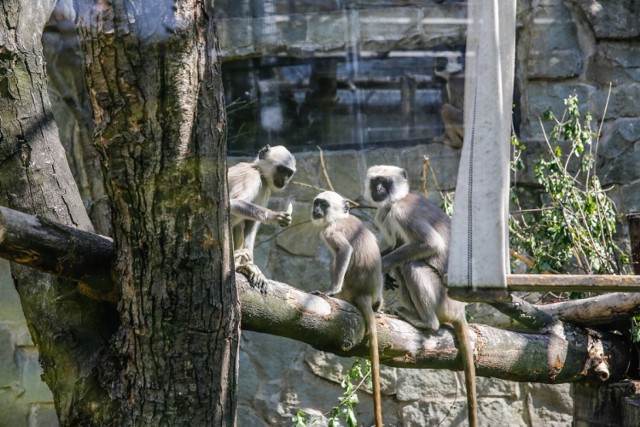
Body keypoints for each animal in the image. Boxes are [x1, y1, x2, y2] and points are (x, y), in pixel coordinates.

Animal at [229, 145, 296, 290]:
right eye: (281, 170)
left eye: (289, 173)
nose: (284, 180)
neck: (257, 169)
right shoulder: (252, 177)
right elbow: (233, 203)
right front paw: (274, 216)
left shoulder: (265, 187)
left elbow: (251, 223)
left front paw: (250, 266)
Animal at [312, 191, 382, 427]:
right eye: (316, 203)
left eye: (323, 205)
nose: (315, 210)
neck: (339, 217)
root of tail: (364, 294)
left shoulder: (330, 230)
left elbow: (345, 250)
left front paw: (332, 290)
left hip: (349, 290)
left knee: (335, 259)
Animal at [362, 166, 478, 427]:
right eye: (375, 182)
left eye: (385, 182)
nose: (379, 189)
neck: (396, 199)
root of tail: (460, 310)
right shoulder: (385, 214)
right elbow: (396, 243)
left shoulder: (402, 211)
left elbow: (430, 244)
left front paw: (381, 267)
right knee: (404, 263)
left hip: (443, 297)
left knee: (411, 264)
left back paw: (426, 322)